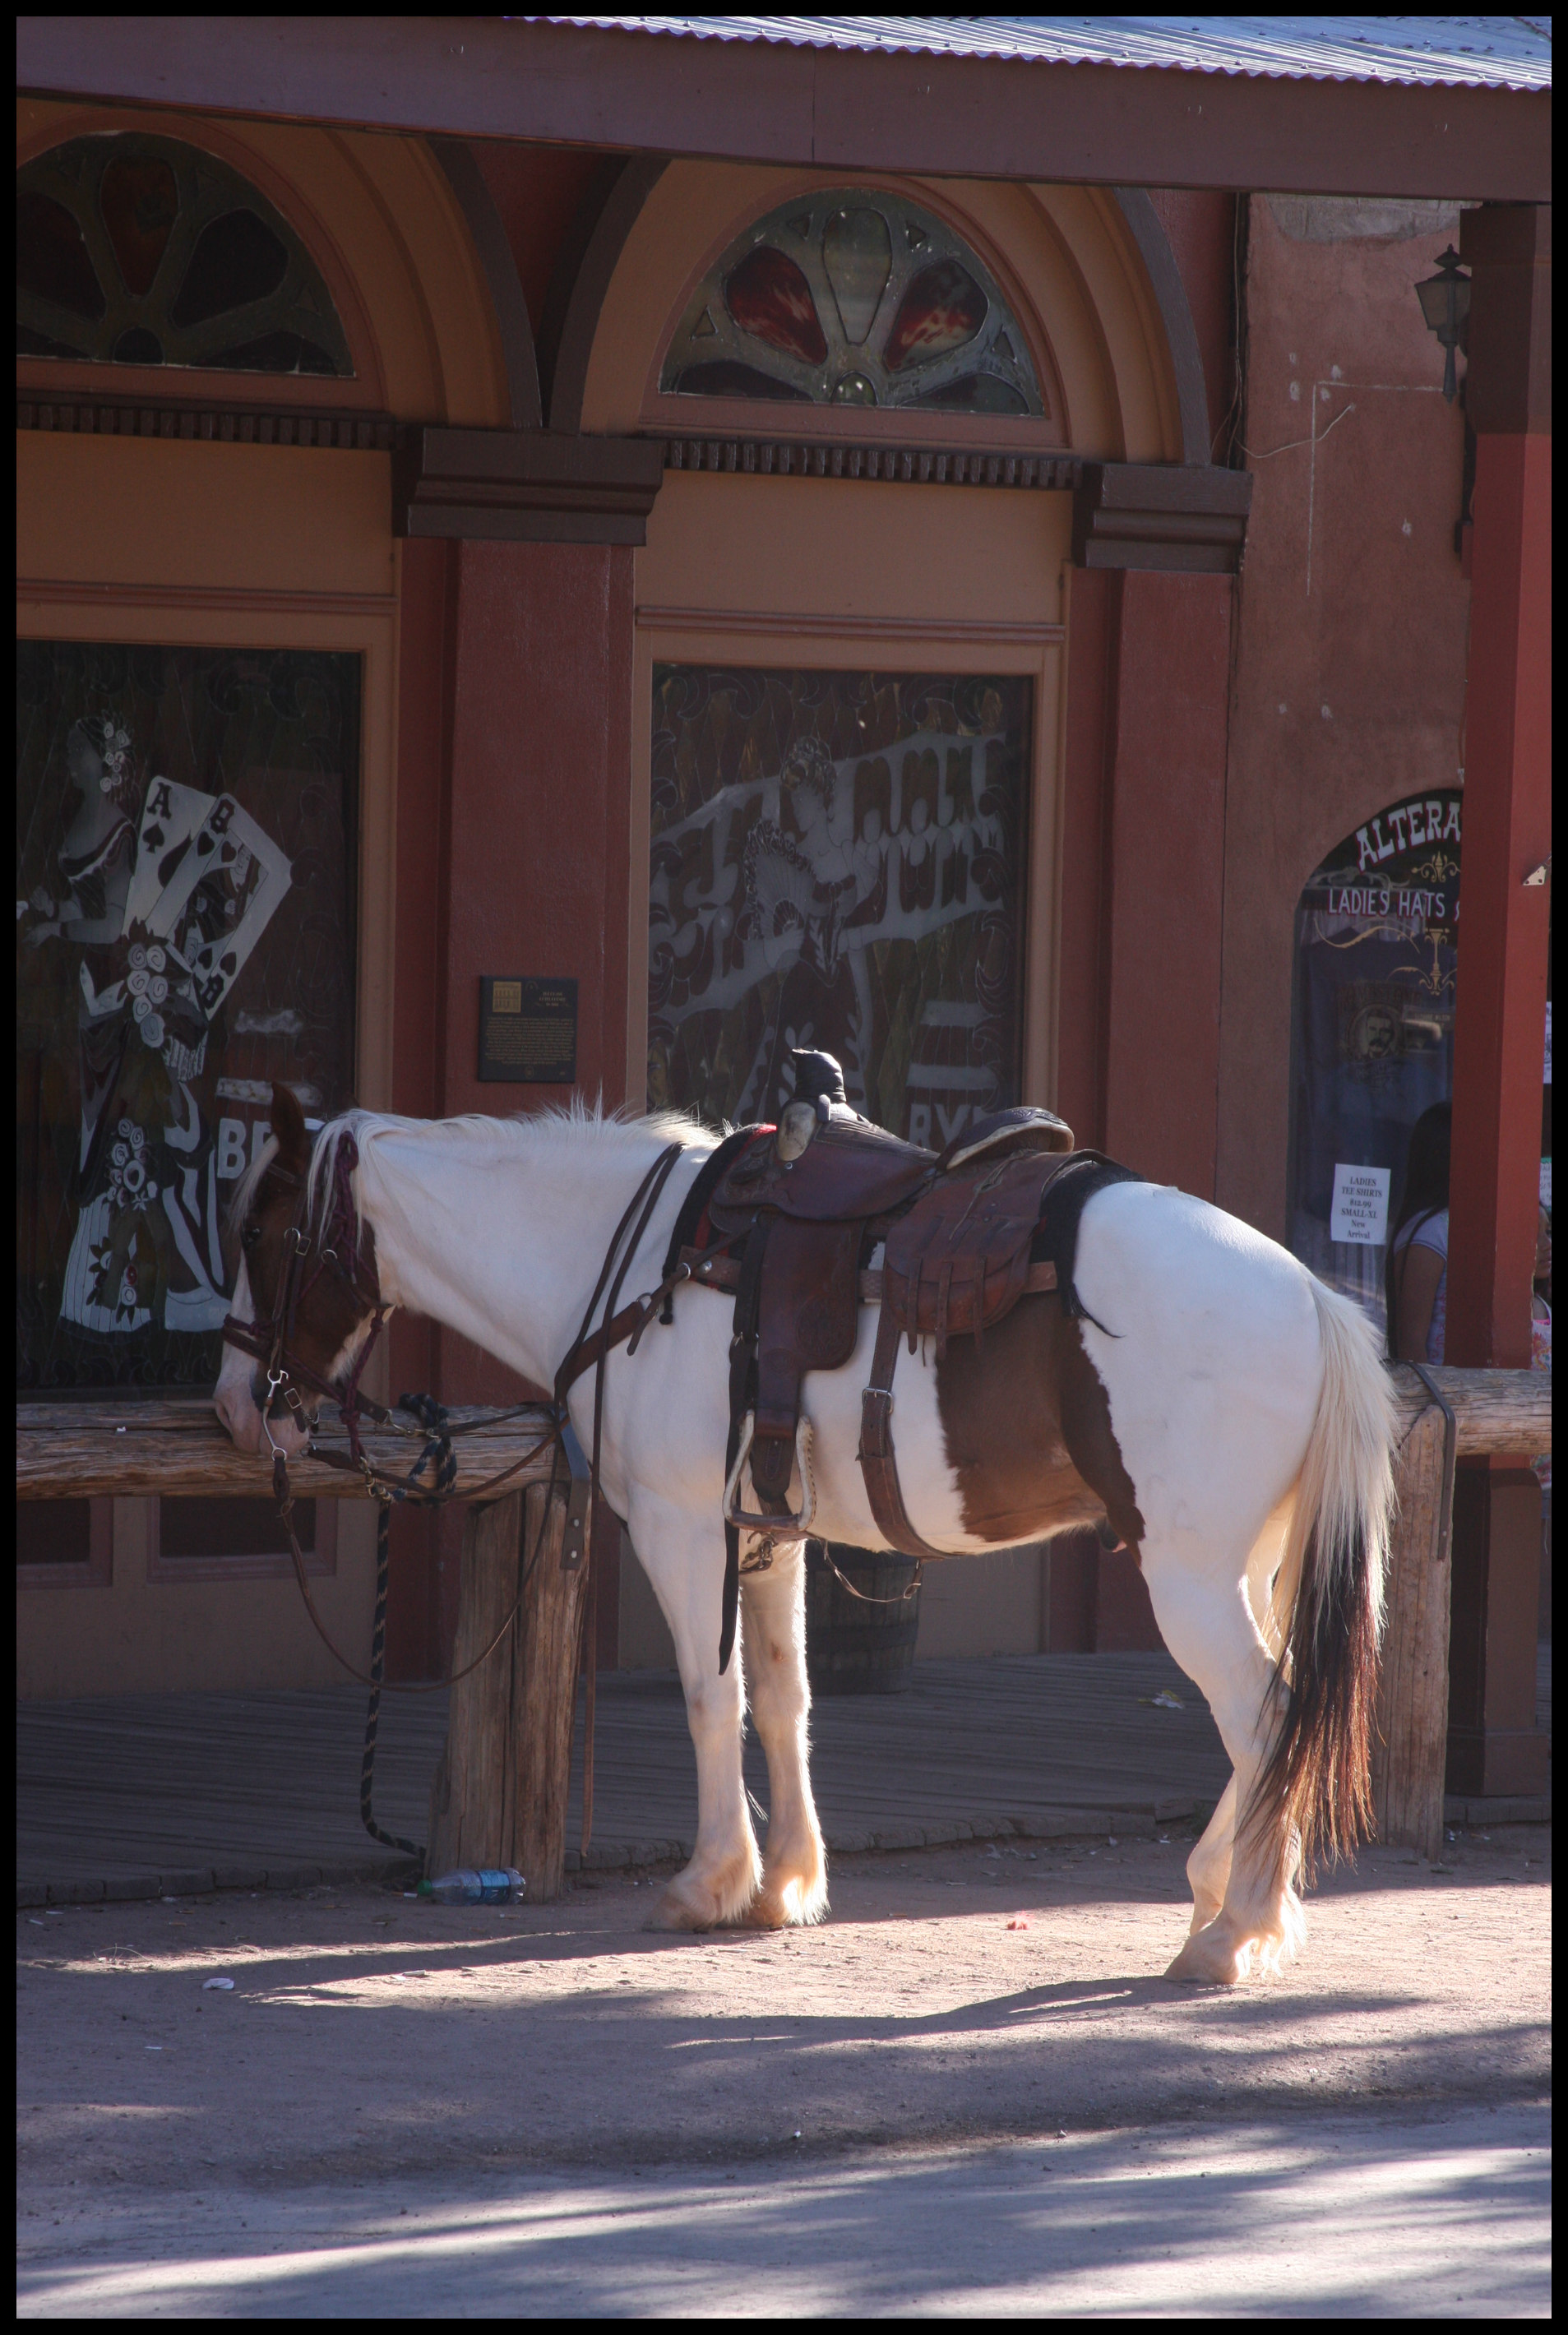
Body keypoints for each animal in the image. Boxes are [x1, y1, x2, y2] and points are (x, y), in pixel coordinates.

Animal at [217, 1093, 1402, 1989]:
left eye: (261, 1234)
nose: (239, 1399)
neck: (640, 1266)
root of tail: (1310, 1296)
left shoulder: (681, 1524)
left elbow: (713, 1697)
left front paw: (709, 1881)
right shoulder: (767, 1529)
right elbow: (782, 1697)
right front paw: (784, 1881)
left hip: (1188, 1574)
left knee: (1265, 1714)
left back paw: (1232, 1931)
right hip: (1240, 1566)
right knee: (1281, 1716)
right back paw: (1216, 1889)